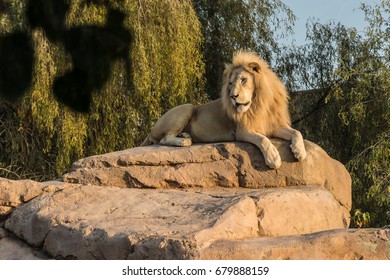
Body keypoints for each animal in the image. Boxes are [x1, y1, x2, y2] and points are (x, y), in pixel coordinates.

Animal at [142, 50, 306, 168]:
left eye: (243, 80)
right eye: (231, 84)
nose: (233, 96)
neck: (258, 103)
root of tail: (151, 131)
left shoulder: (273, 125)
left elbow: (296, 132)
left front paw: (300, 151)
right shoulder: (242, 131)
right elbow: (263, 139)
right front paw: (273, 158)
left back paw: (185, 135)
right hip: (187, 107)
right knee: (164, 139)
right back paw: (184, 141)